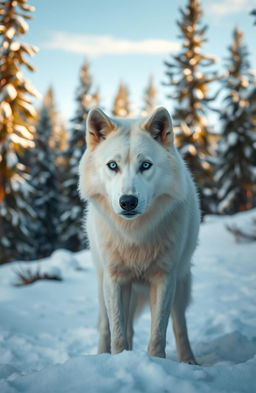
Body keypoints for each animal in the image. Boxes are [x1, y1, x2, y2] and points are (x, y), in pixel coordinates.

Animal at [78, 105, 200, 362]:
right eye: (112, 165)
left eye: (145, 165)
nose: (128, 202)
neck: (134, 236)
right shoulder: (115, 279)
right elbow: (117, 333)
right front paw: (119, 358)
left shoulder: (164, 278)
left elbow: (159, 333)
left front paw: (156, 361)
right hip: (104, 285)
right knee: (108, 327)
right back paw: (103, 355)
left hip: (181, 282)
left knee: (179, 325)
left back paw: (188, 361)